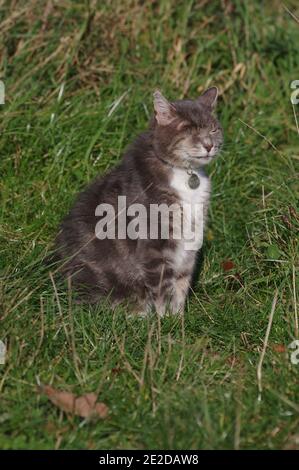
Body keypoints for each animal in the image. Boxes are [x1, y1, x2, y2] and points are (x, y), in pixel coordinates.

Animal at [55, 88, 224, 316]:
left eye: (214, 129)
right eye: (188, 130)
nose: (209, 145)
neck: (184, 175)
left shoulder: (192, 235)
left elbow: (181, 281)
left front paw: (179, 319)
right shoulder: (154, 240)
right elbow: (163, 285)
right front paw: (166, 320)